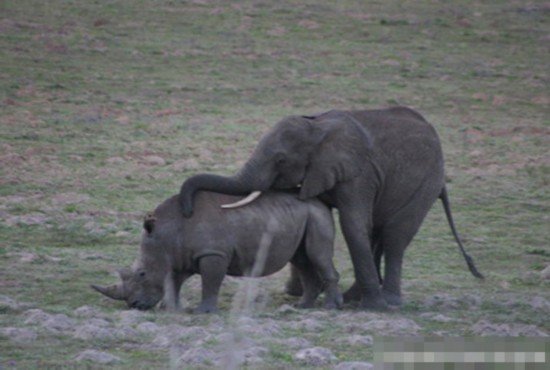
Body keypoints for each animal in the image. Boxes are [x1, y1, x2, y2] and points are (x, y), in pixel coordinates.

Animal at [92, 191, 342, 312]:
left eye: (142, 274)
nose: (134, 306)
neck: (168, 231)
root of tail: (320, 202)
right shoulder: (180, 257)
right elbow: (174, 281)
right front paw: (171, 309)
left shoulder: (212, 253)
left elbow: (210, 281)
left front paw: (203, 312)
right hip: (303, 215)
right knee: (302, 260)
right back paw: (302, 307)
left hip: (316, 215)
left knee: (317, 256)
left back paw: (329, 308)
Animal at [180, 106, 484, 310]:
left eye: (280, 160)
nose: (187, 210)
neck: (318, 127)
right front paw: (298, 294)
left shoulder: (359, 173)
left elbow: (352, 224)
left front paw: (371, 307)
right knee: (377, 234)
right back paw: (354, 297)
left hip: (424, 184)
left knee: (394, 236)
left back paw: (385, 302)